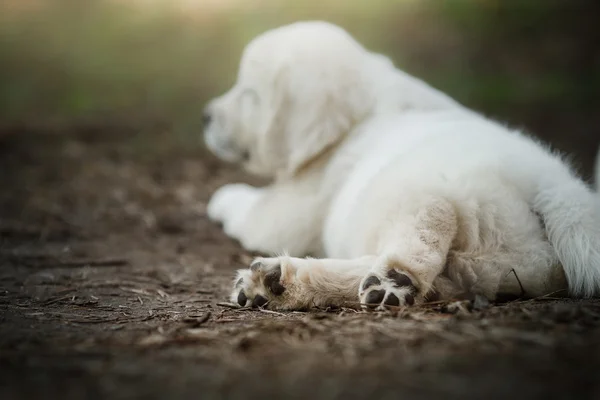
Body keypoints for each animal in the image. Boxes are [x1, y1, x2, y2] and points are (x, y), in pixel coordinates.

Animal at [203, 21, 600, 310]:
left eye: (250, 95)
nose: (205, 116)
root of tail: (553, 184)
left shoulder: (297, 206)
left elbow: (252, 207)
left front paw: (222, 197)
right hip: (501, 266)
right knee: (436, 278)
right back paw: (277, 282)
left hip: (422, 187)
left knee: (427, 225)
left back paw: (393, 278)